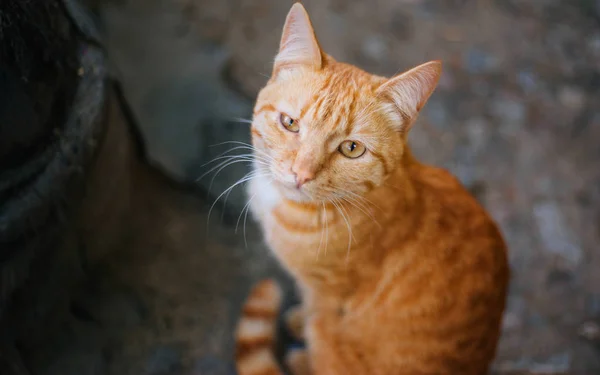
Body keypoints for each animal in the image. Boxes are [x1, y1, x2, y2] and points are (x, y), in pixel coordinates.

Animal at [237, 3, 508, 375]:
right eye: (290, 123)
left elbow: (314, 314)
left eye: (351, 149)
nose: (300, 174)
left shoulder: (325, 294)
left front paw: (301, 335)